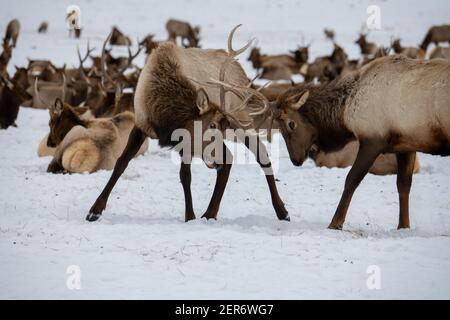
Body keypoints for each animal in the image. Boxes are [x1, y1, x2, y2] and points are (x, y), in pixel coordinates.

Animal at [86, 25, 290, 224]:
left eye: (222, 127)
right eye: (212, 125)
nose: (218, 160)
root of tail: (240, 70)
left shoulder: (186, 139)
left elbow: (185, 176)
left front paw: (189, 217)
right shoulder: (141, 125)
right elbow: (121, 163)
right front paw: (94, 210)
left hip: (242, 119)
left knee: (261, 155)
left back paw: (282, 211)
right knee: (231, 159)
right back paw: (210, 213)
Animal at [251, 54, 448, 230]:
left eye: (291, 124)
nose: (295, 160)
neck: (346, 113)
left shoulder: (372, 141)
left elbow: (351, 180)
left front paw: (335, 223)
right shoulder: (406, 145)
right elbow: (403, 185)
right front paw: (403, 226)